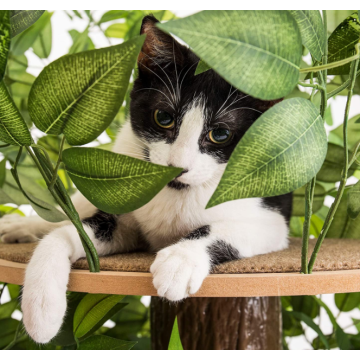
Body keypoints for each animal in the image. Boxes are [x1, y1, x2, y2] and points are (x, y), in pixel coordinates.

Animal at [0, 15, 292, 344]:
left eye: (220, 134)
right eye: (163, 118)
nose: (177, 167)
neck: (176, 193)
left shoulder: (271, 217)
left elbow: (224, 228)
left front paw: (180, 261)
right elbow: (73, 231)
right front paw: (42, 306)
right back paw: (20, 226)